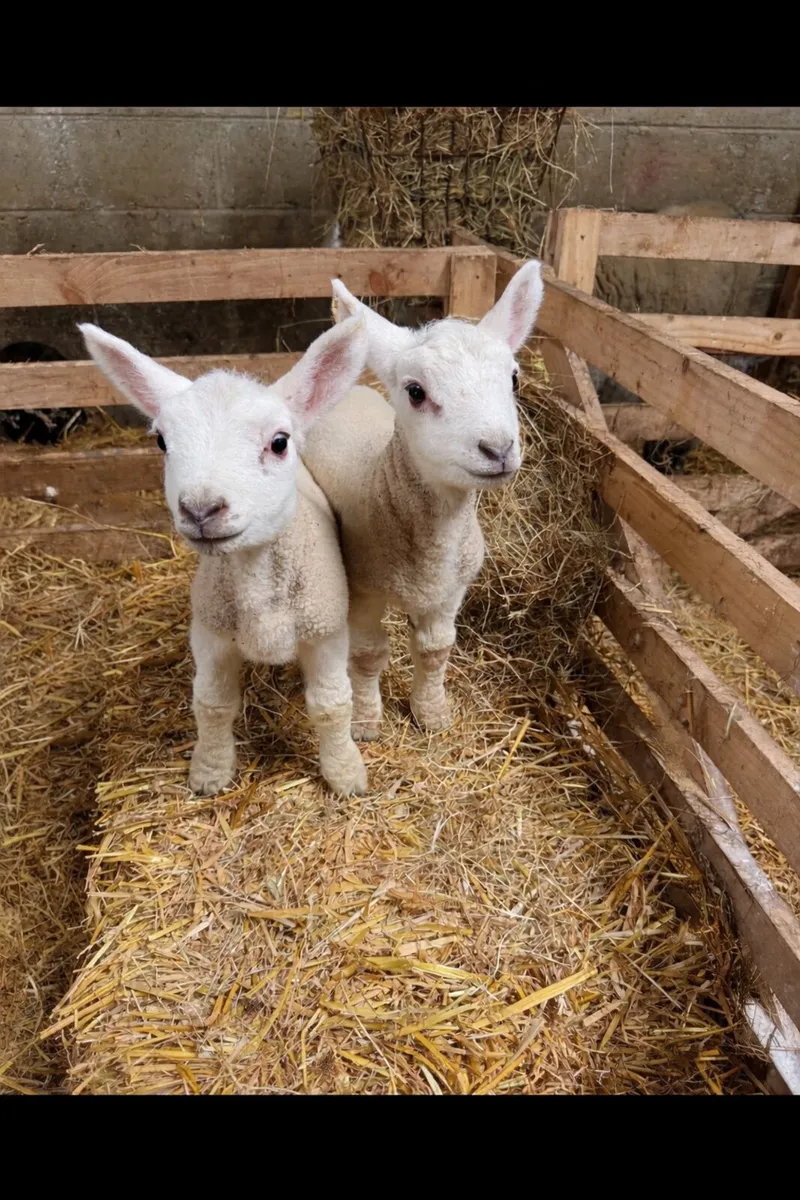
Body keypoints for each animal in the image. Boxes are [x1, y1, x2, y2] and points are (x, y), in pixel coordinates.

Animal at [79, 317, 370, 799]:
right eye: (162, 442)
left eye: (278, 442)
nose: (201, 509)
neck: (258, 588)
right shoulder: (211, 632)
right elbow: (212, 704)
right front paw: (210, 772)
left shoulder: (325, 631)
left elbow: (332, 706)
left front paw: (345, 774)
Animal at [302, 261, 544, 741]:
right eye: (415, 392)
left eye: (513, 378)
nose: (498, 449)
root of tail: (352, 388)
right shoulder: (363, 589)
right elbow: (368, 654)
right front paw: (365, 722)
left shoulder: (452, 589)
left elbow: (436, 649)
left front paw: (431, 713)